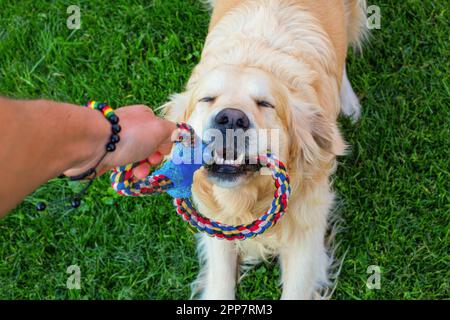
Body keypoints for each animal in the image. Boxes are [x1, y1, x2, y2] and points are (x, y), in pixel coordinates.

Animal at [162, 0, 366, 300]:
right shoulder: (217, 222)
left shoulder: (307, 226)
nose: (231, 118)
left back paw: (349, 103)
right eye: (207, 99)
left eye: (266, 104)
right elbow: (220, 282)